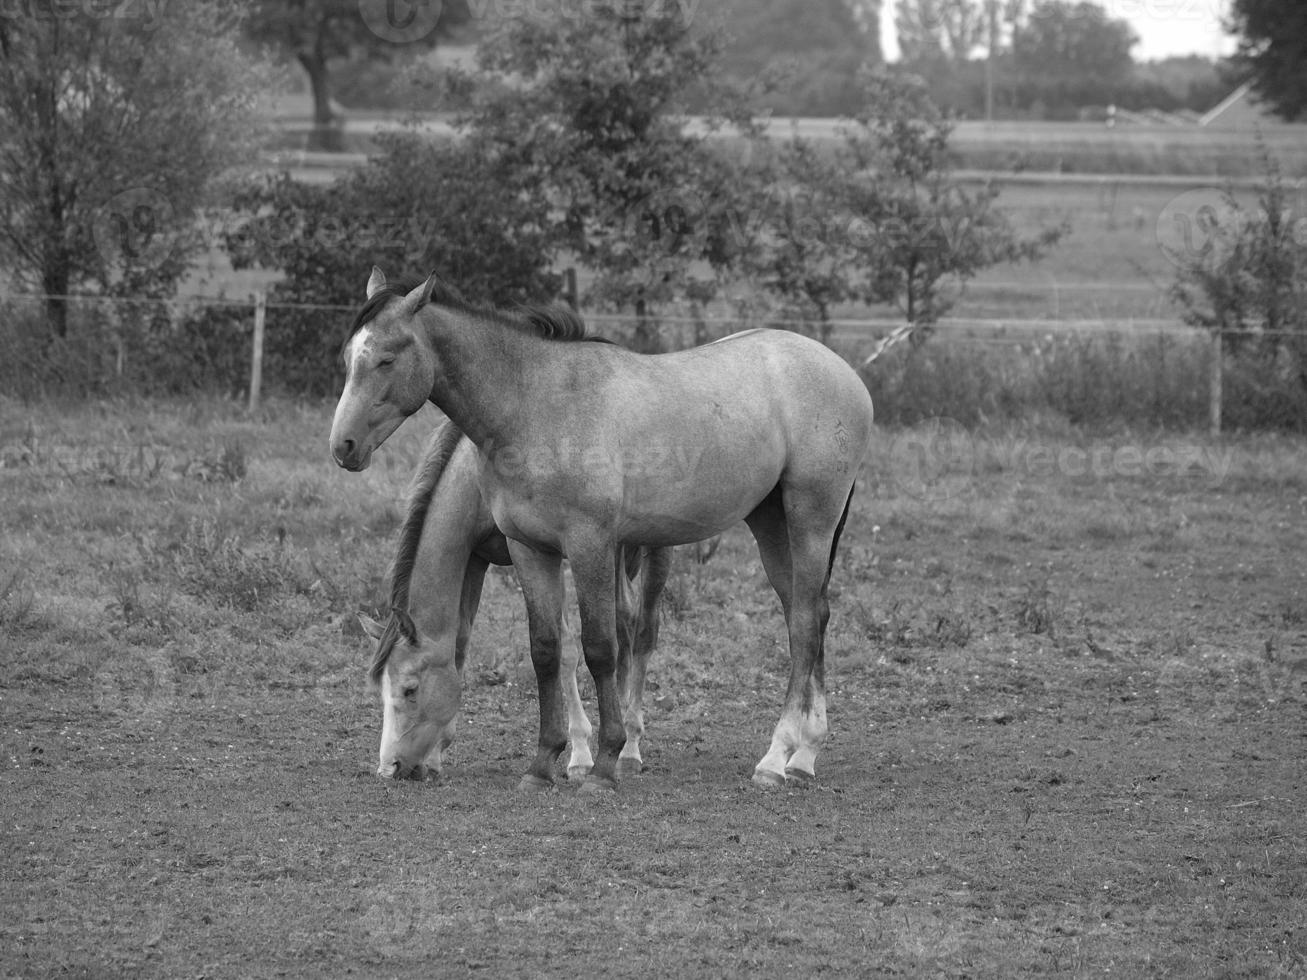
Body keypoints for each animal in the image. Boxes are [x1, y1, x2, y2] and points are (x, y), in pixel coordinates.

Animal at [355, 415, 674, 783]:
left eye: (410, 689)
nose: (389, 767)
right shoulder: (476, 558)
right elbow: (460, 643)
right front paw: (436, 756)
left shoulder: (545, 552)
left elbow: (566, 650)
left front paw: (580, 755)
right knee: (625, 620)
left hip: (652, 546)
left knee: (644, 632)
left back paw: (631, 747)